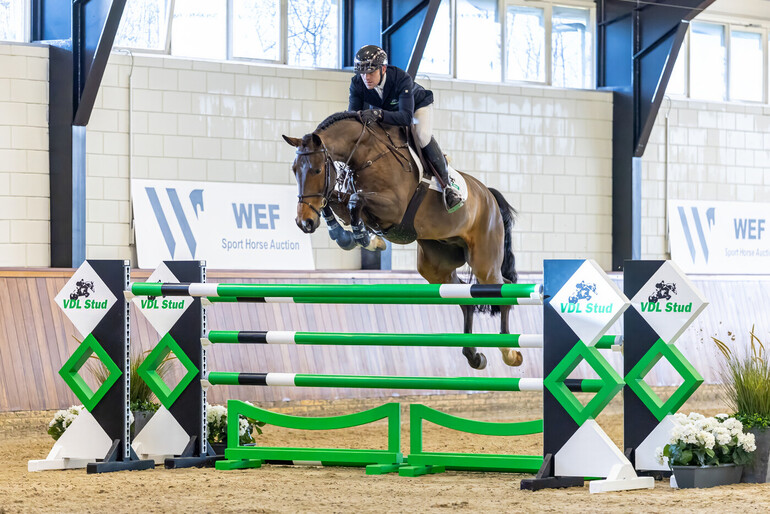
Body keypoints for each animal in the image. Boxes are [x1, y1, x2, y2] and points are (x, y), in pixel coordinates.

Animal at [282, 111, 522, 370]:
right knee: (464, 297)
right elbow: (335, 200)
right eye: (294, 169)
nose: (304, 222)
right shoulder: (347, 200)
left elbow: (355, 200)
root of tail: (489, 195)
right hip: (436, 264)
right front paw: (350, 238)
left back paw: (510, 352)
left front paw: (366, 239)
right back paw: (473, 355)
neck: (366, 155)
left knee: (503, 286)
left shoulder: (393, 208)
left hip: (484, 261)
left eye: (317, 170)